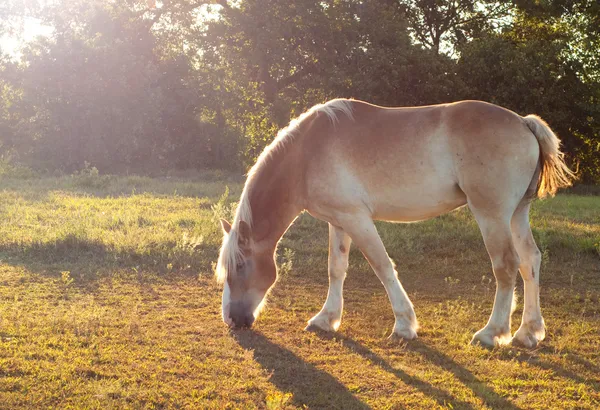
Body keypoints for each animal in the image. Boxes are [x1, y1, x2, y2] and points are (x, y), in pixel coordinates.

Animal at [213, 97, 576, 348]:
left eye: (240, 265)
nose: (232, 319)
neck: (306, 153)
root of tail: (523, 122)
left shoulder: (357, 218)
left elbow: (382, 266)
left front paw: (404, 325)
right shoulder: (338, 221)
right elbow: (336, 268)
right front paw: (326, 319)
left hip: (492, 214)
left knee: (506, 265)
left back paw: (491, 333)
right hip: (517, 214)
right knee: (530, 261)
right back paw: (529, 332)